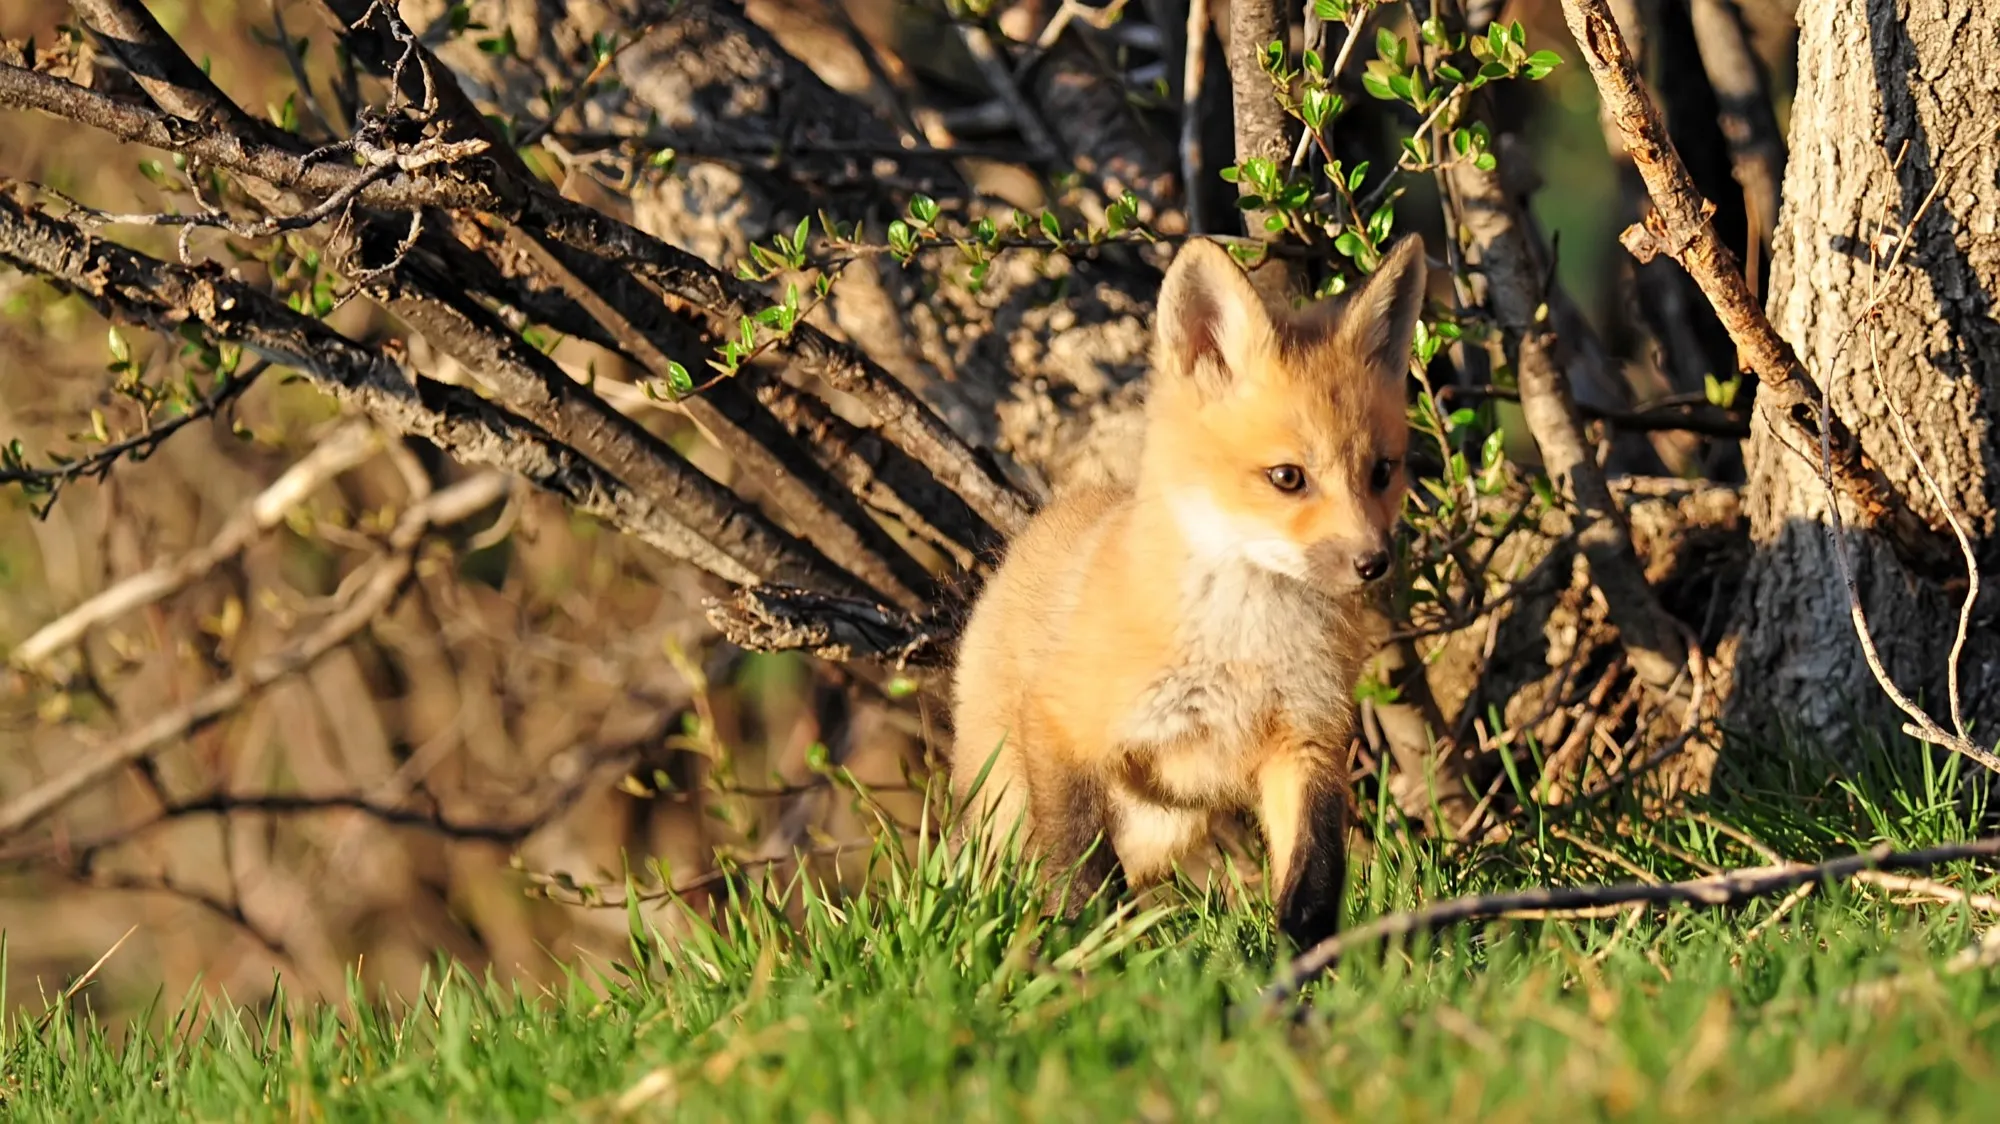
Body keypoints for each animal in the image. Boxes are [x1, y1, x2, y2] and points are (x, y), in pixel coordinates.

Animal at [948, 233, 1426, 952]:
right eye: (1287, 477)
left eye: (1382, 472)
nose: (1374, 562)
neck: (1243, 648)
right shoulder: (1063, 725)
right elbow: (1082, 876)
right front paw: (1095, 954)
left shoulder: (1306, 740)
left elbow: (1313, 877)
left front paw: (1306, 964)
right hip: (1017, 802)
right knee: (1011, 875)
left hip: (1162, 823)